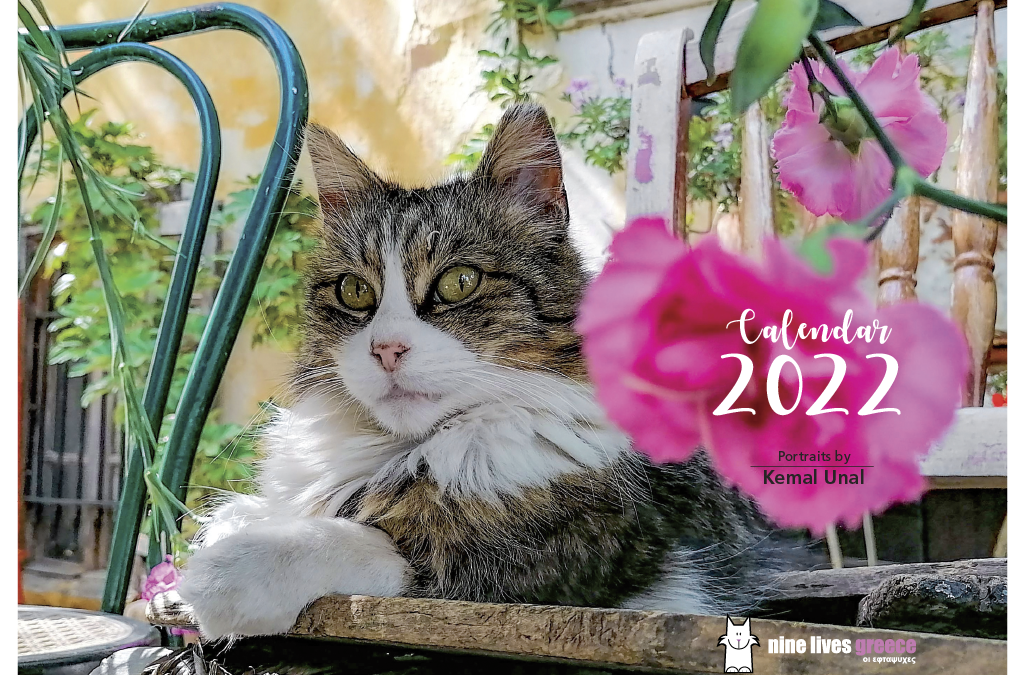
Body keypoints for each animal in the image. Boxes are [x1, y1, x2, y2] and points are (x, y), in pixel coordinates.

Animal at [178, 102, 790, 643]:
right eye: (355, 292)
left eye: (459, 282)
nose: (386, 349)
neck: (407, 451)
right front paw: (237, 523)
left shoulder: (569, 553)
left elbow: (373, 542)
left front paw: (228, 572)